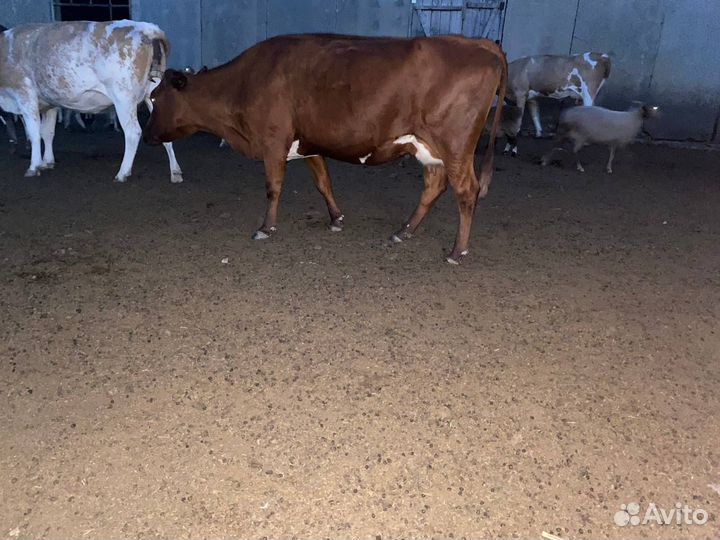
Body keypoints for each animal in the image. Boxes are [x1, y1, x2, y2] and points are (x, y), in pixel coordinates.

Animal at [0, 20, 182, 182]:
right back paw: (175, 172)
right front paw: (47, 162)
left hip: (123, 97)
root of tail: (146, 28)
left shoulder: (24, 94)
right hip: (152, 94)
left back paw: (122, 173)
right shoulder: (50, 103)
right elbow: (47, 132)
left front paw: (34, 166)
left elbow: (34, 133)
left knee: (133, 132)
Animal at [143, 34, 507, 264]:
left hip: (456, 146)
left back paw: (457, 252)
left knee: (466, 191)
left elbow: (273, 187)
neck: (241, 84)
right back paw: (404, 232)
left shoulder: (273, 142)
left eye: (155, 98)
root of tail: (478, 43)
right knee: (433, 186)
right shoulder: (309, 143)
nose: (146, 136)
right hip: (428, 148)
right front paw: (336, 218)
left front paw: (266, 228)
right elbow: (323, 182)